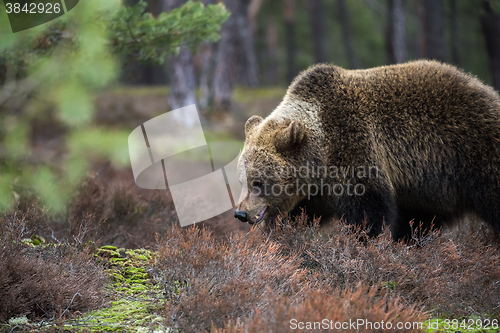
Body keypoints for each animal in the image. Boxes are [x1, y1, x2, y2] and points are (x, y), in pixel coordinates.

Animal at [236, 59, 500, 240]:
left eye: (258, 181)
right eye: (242, 180)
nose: (241, 214)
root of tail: (487, 90)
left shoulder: (354, 148)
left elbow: (368, 212)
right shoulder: (314, 191)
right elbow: (298, 215)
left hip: (473, 151)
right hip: (429, 189)